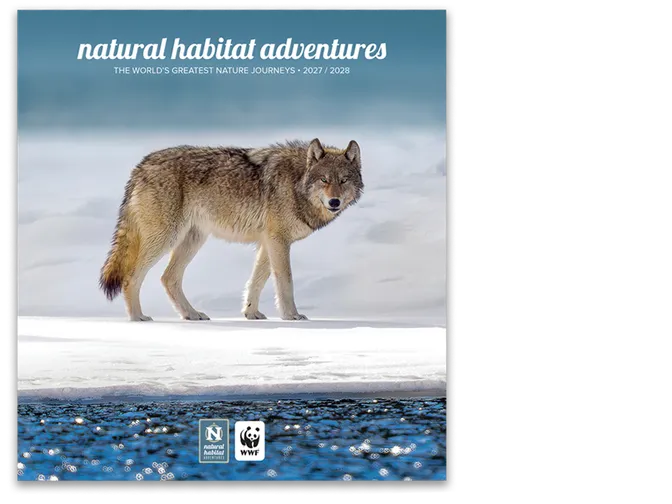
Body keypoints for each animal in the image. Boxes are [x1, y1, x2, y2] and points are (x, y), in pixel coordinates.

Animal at [99, 138, 364, 322]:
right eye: (324, 180)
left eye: (343, 180)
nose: (334, 202)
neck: (297, 182)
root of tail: (141, 165)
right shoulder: (278, 241)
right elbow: (285, 281)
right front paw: (292, 316)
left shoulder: (268, 242)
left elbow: (256, 281)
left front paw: (251, 314)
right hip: (166, 238)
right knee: (131, 277)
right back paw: (137, 317)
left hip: (193, 240)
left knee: (168, 278)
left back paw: (191, 314)